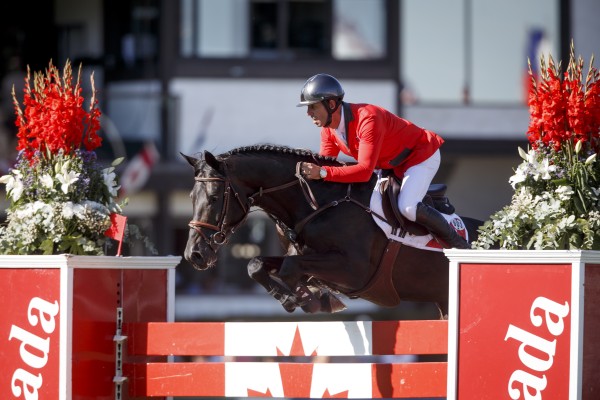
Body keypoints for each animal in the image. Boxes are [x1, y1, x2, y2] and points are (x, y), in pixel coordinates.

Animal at [183, 145, 482, 318]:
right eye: (191, 197)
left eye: (213, 197)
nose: (193, 255)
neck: (318, 204)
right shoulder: (307, 257)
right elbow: (256, 264)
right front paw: (301, 298)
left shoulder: (353, 270)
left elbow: (289, 269)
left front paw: (306, 298)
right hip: (444, 303)